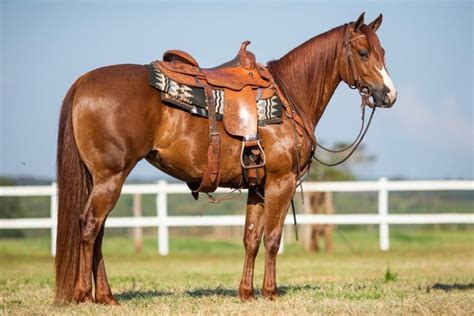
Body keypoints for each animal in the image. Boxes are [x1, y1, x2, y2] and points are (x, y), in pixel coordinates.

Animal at [55, 12, 396, 304]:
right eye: (363, 53)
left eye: (382, 51)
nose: (388, 95)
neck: (289, 96)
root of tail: (84, 82)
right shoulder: (281, 183)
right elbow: (273, 238)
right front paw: (270, 292)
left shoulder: (258, 187)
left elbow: (251, 238)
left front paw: (247, 292)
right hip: (110, 178)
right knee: (90, 227)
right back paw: (85, 294)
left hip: (100, 180)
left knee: (98, 232)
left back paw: (106, 296)